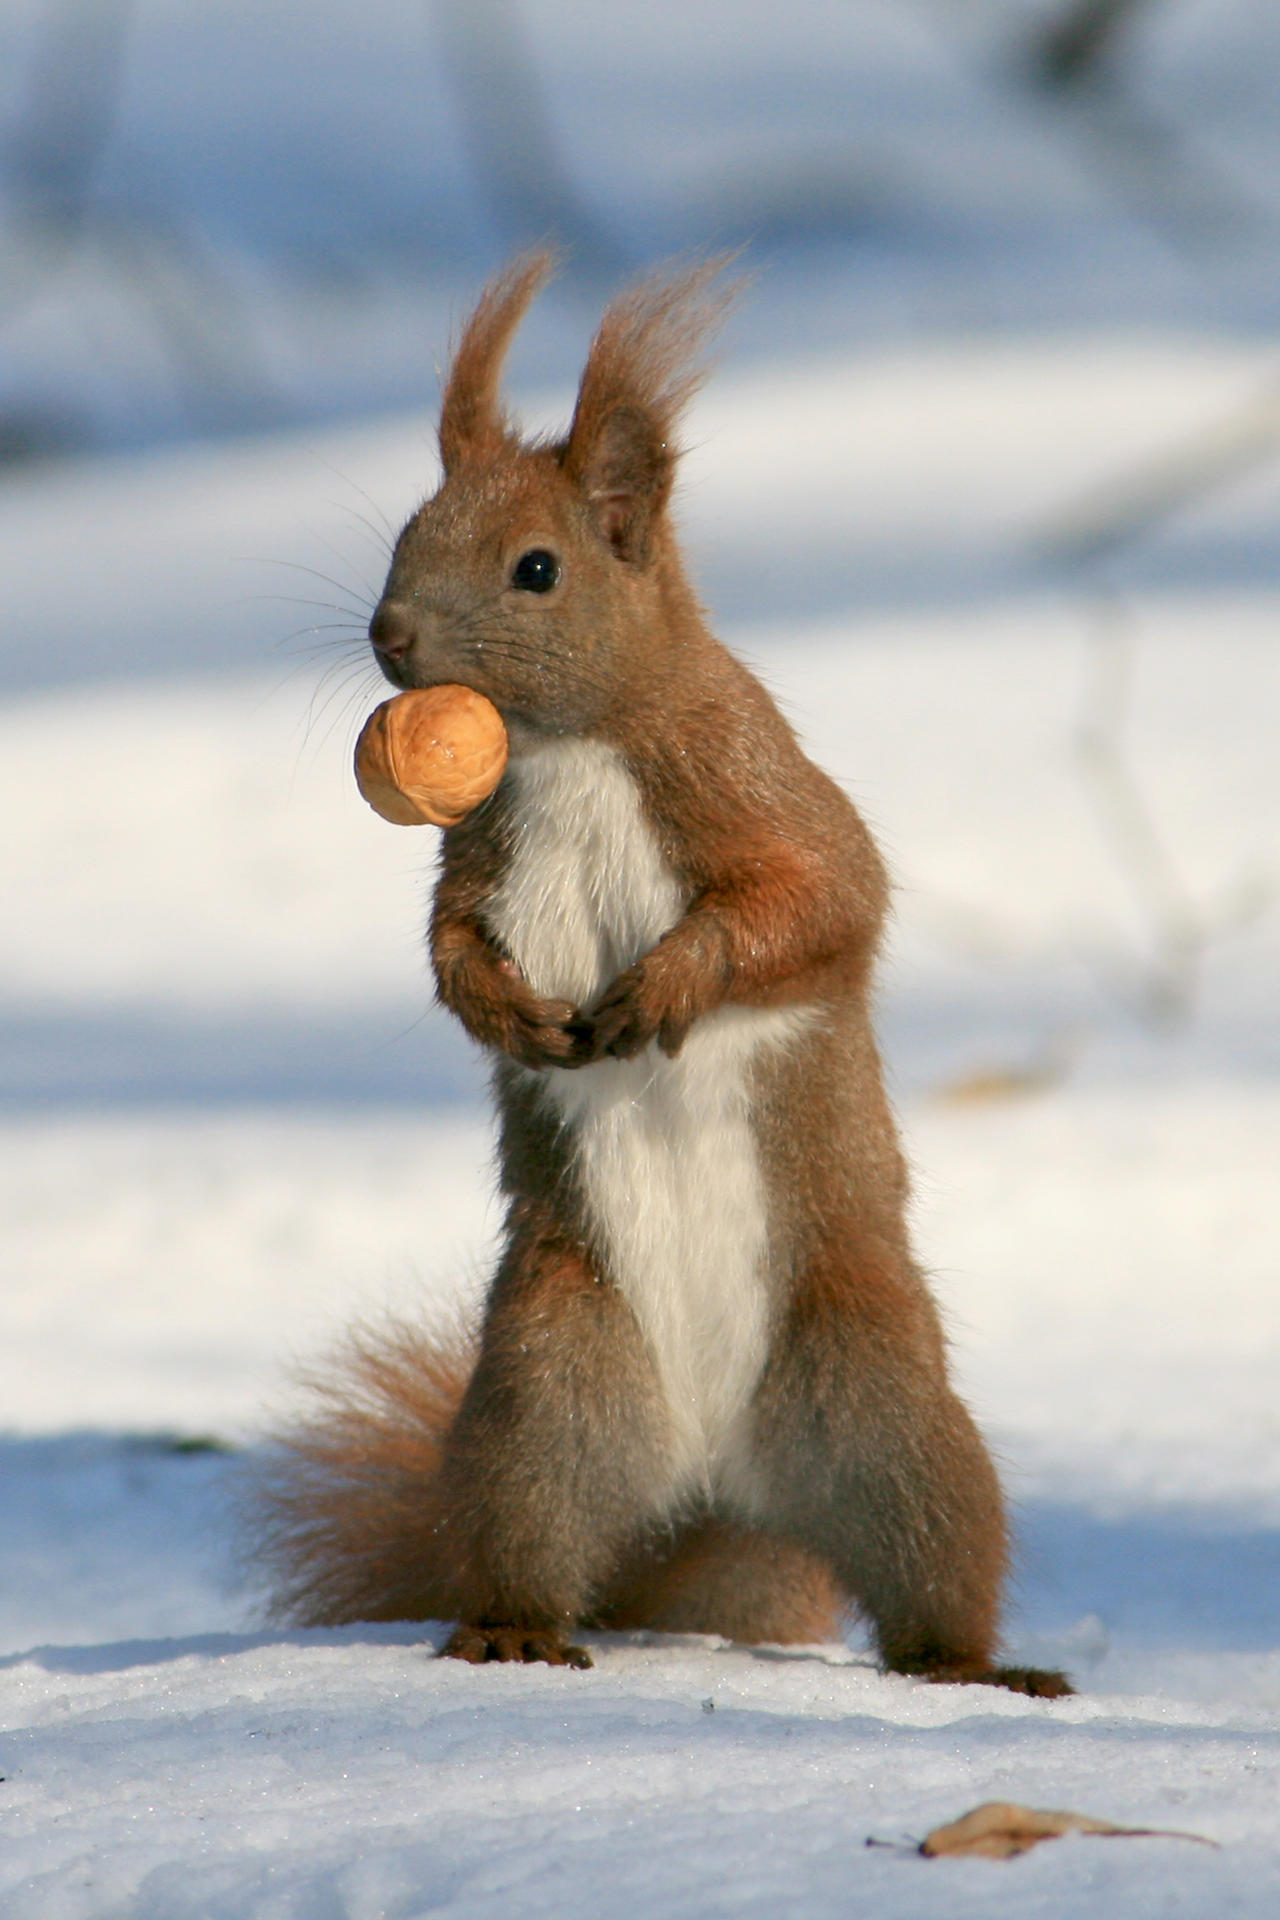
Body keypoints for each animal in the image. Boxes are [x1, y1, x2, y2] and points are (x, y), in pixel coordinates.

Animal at [249, 255, 1074, 1697]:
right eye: (408, 531)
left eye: (536, 569)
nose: (390, 636)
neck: (568, 747)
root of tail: (708, 1490)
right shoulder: (478, 856)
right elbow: (450, 947)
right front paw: (510, 1012)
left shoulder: (754, 787)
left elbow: (823, 903)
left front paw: (670, 986)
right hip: (545, 1394)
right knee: (529, 1534)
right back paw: (513, 1630)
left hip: (881, 1409)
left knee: (933, 1563)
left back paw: (975, 1670)